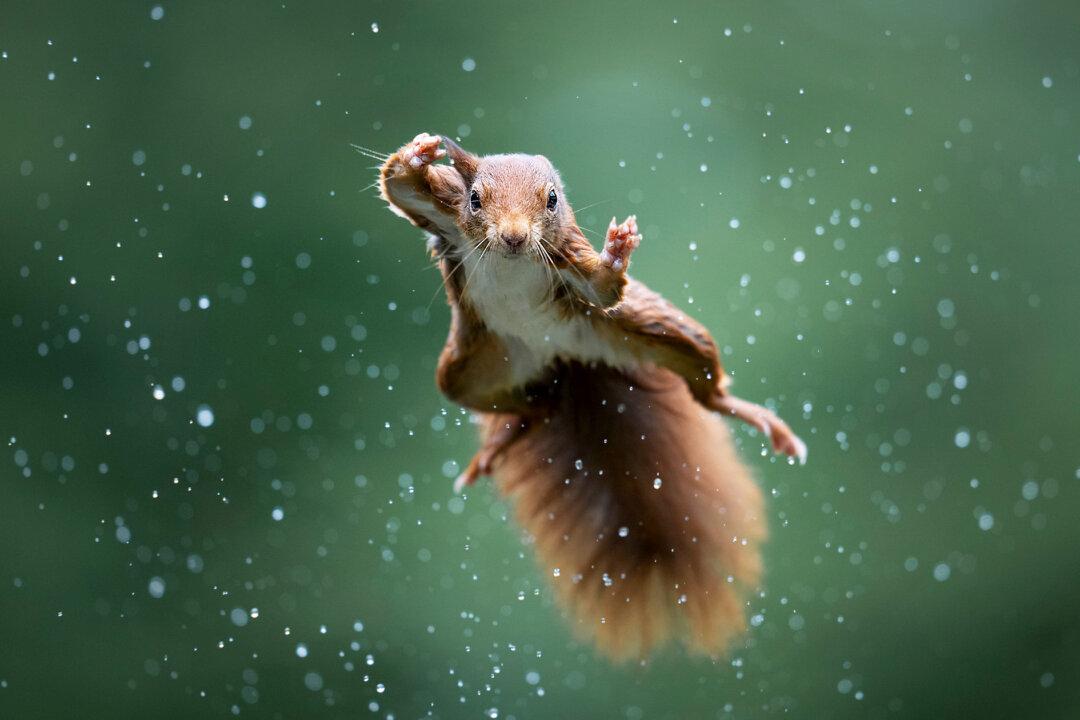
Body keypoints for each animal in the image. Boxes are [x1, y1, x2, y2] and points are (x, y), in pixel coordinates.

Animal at [377, 132, 806, 661]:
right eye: (475, 199)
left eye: (551, 200)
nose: (514, 238)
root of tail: (564, 359)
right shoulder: (445, 214)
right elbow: (399, 187)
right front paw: (419, 152)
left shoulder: (567, 259)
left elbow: (603, 287)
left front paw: (617, 250)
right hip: (469, 371)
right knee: (533, 407)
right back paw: (502, 441)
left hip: (654, 331)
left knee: (704, 388)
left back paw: (760, 419)